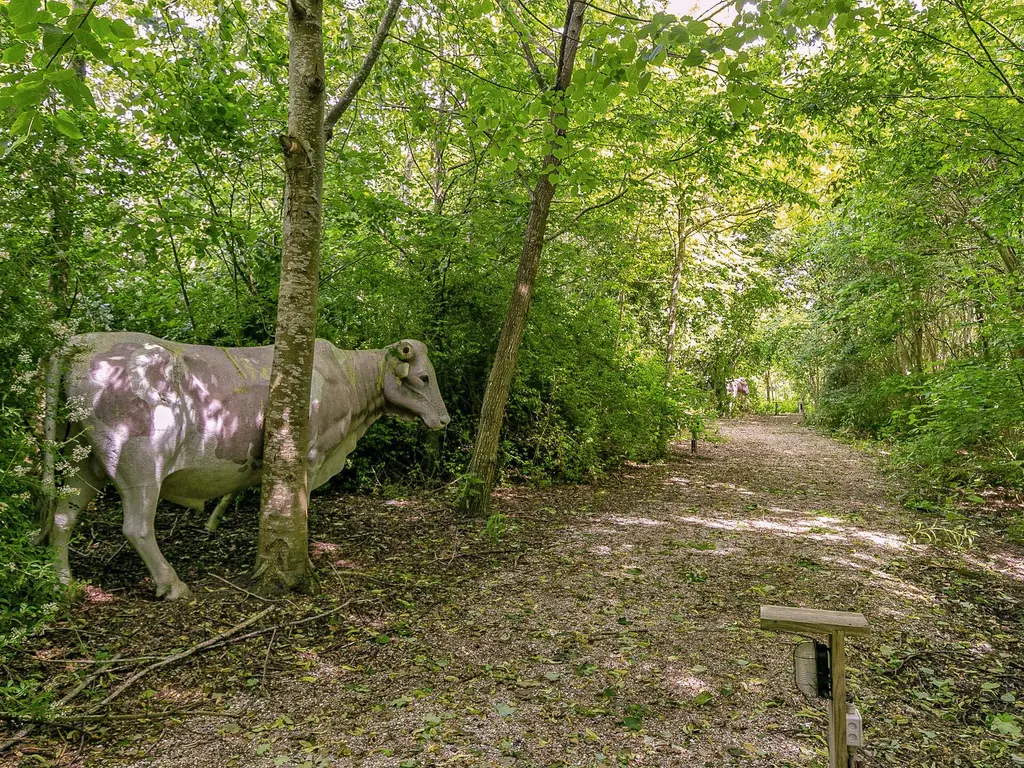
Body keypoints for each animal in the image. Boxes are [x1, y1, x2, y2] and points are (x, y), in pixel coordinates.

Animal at [43, 333, 448, 606]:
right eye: (424, 378)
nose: (444, 419)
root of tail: (82, 340)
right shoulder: (310, 456)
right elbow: (298, 508)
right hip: (140, 463)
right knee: (137, 527)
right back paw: (173, 585)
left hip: (83, 461)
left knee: (63, 518)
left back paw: (64, 583)